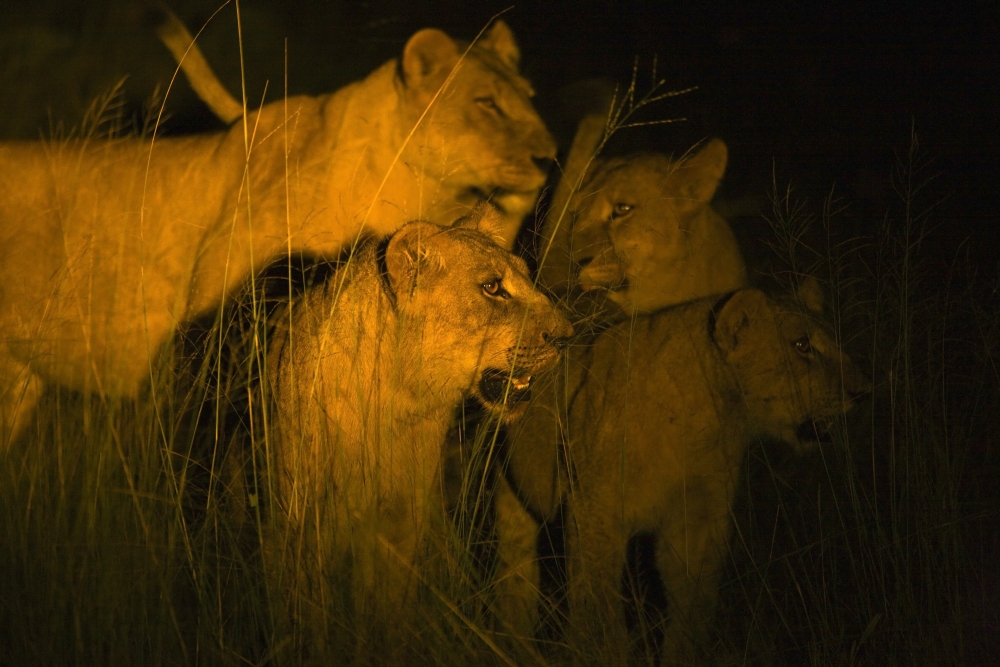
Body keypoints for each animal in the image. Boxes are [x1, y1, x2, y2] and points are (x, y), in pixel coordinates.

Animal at [264, 205, 573, 661]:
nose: (568, 336)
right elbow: (309, 618)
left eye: (525, 276)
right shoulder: (301, 528)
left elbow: (392, 615)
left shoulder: (403, 525)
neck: (398, 407)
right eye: (492, 288)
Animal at [496, 280, 871, 664]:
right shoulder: (595, 513)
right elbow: (597, 601)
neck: (711, 420)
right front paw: (601, 651)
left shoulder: (698, 520)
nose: (863, 391)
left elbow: (692, 603)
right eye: (802, 345)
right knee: (515, 573)